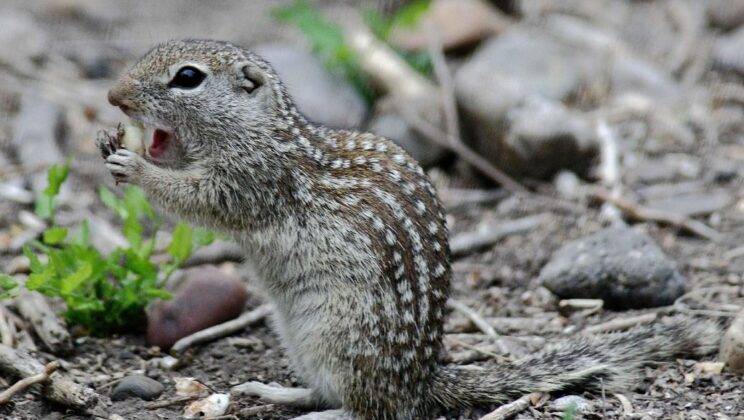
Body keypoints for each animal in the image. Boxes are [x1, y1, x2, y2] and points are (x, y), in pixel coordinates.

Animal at [97, 38, 720, 416]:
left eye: (187, 78)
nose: (113, 96)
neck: (262, 129)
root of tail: (421, 381)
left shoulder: (253, 178)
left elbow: (203, 200)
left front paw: (136, 167)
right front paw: (111, 146)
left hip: (337, 333)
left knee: (367, 408)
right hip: (298, 334)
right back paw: (275, 390)